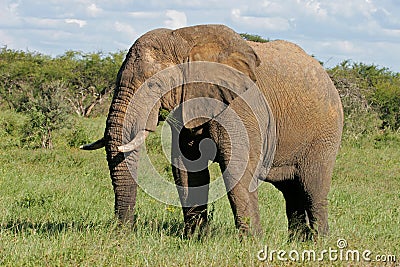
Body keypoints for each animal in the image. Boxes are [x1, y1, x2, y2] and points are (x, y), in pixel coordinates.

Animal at [82, 24, 344, 240]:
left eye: (154, 85)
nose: (122, 232)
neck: (185, 39)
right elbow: (186, 167)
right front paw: (195, 239)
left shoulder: (239, 105)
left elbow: (237, 167)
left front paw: (250, 243)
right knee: (292, 191)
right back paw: (296, 242)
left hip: (325, 133)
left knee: (312, 187)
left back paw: (319, 242)